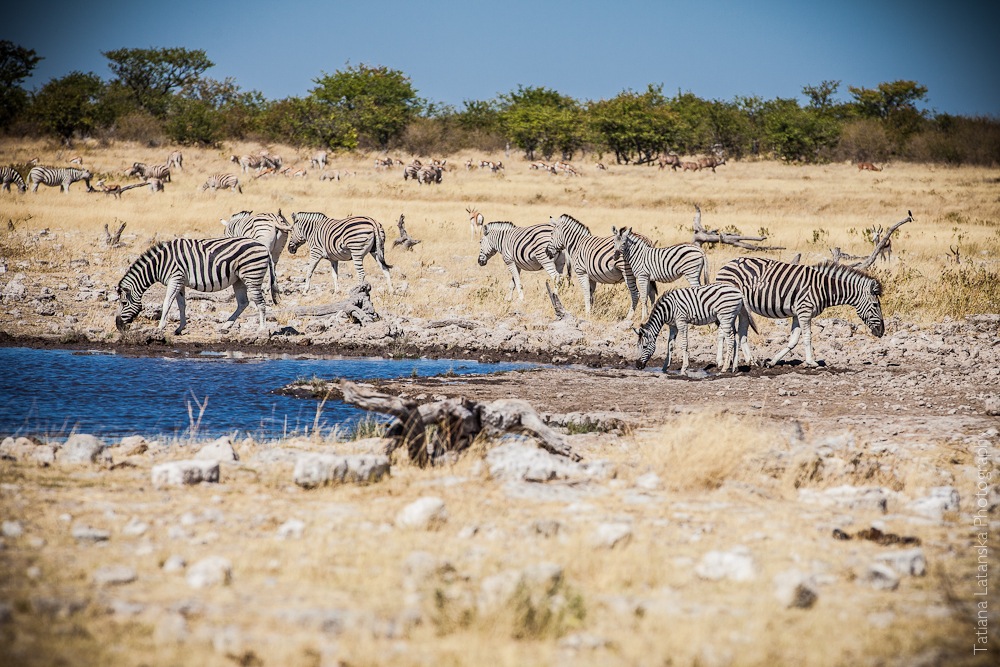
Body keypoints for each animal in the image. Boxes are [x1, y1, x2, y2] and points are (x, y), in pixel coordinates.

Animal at [114, 237, 278, 336]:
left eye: (123, 303)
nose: (118, 326)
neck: (159, 264)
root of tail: (263, 246)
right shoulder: (180, 282)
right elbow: (181, 305)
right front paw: (180, 328)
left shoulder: (175, 278)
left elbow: (167, 303)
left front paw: (160, 328)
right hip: (238, 280)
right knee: (243, 303)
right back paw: (225, 326)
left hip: (252, 277)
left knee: (261, 303)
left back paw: (262, 329)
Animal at [716, 258, 888, 370]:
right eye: (875, 305)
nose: (882, 332)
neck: (823, 288)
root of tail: (726, 265)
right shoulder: (804, 311)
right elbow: (807, 337)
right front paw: (811, 362)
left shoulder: (797, 314)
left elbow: (793, 340)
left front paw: (772, 362)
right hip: (728, 304)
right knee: (722, 332)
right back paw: (720, 362)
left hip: (743, 309)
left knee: (741, 333)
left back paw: (751, 361)